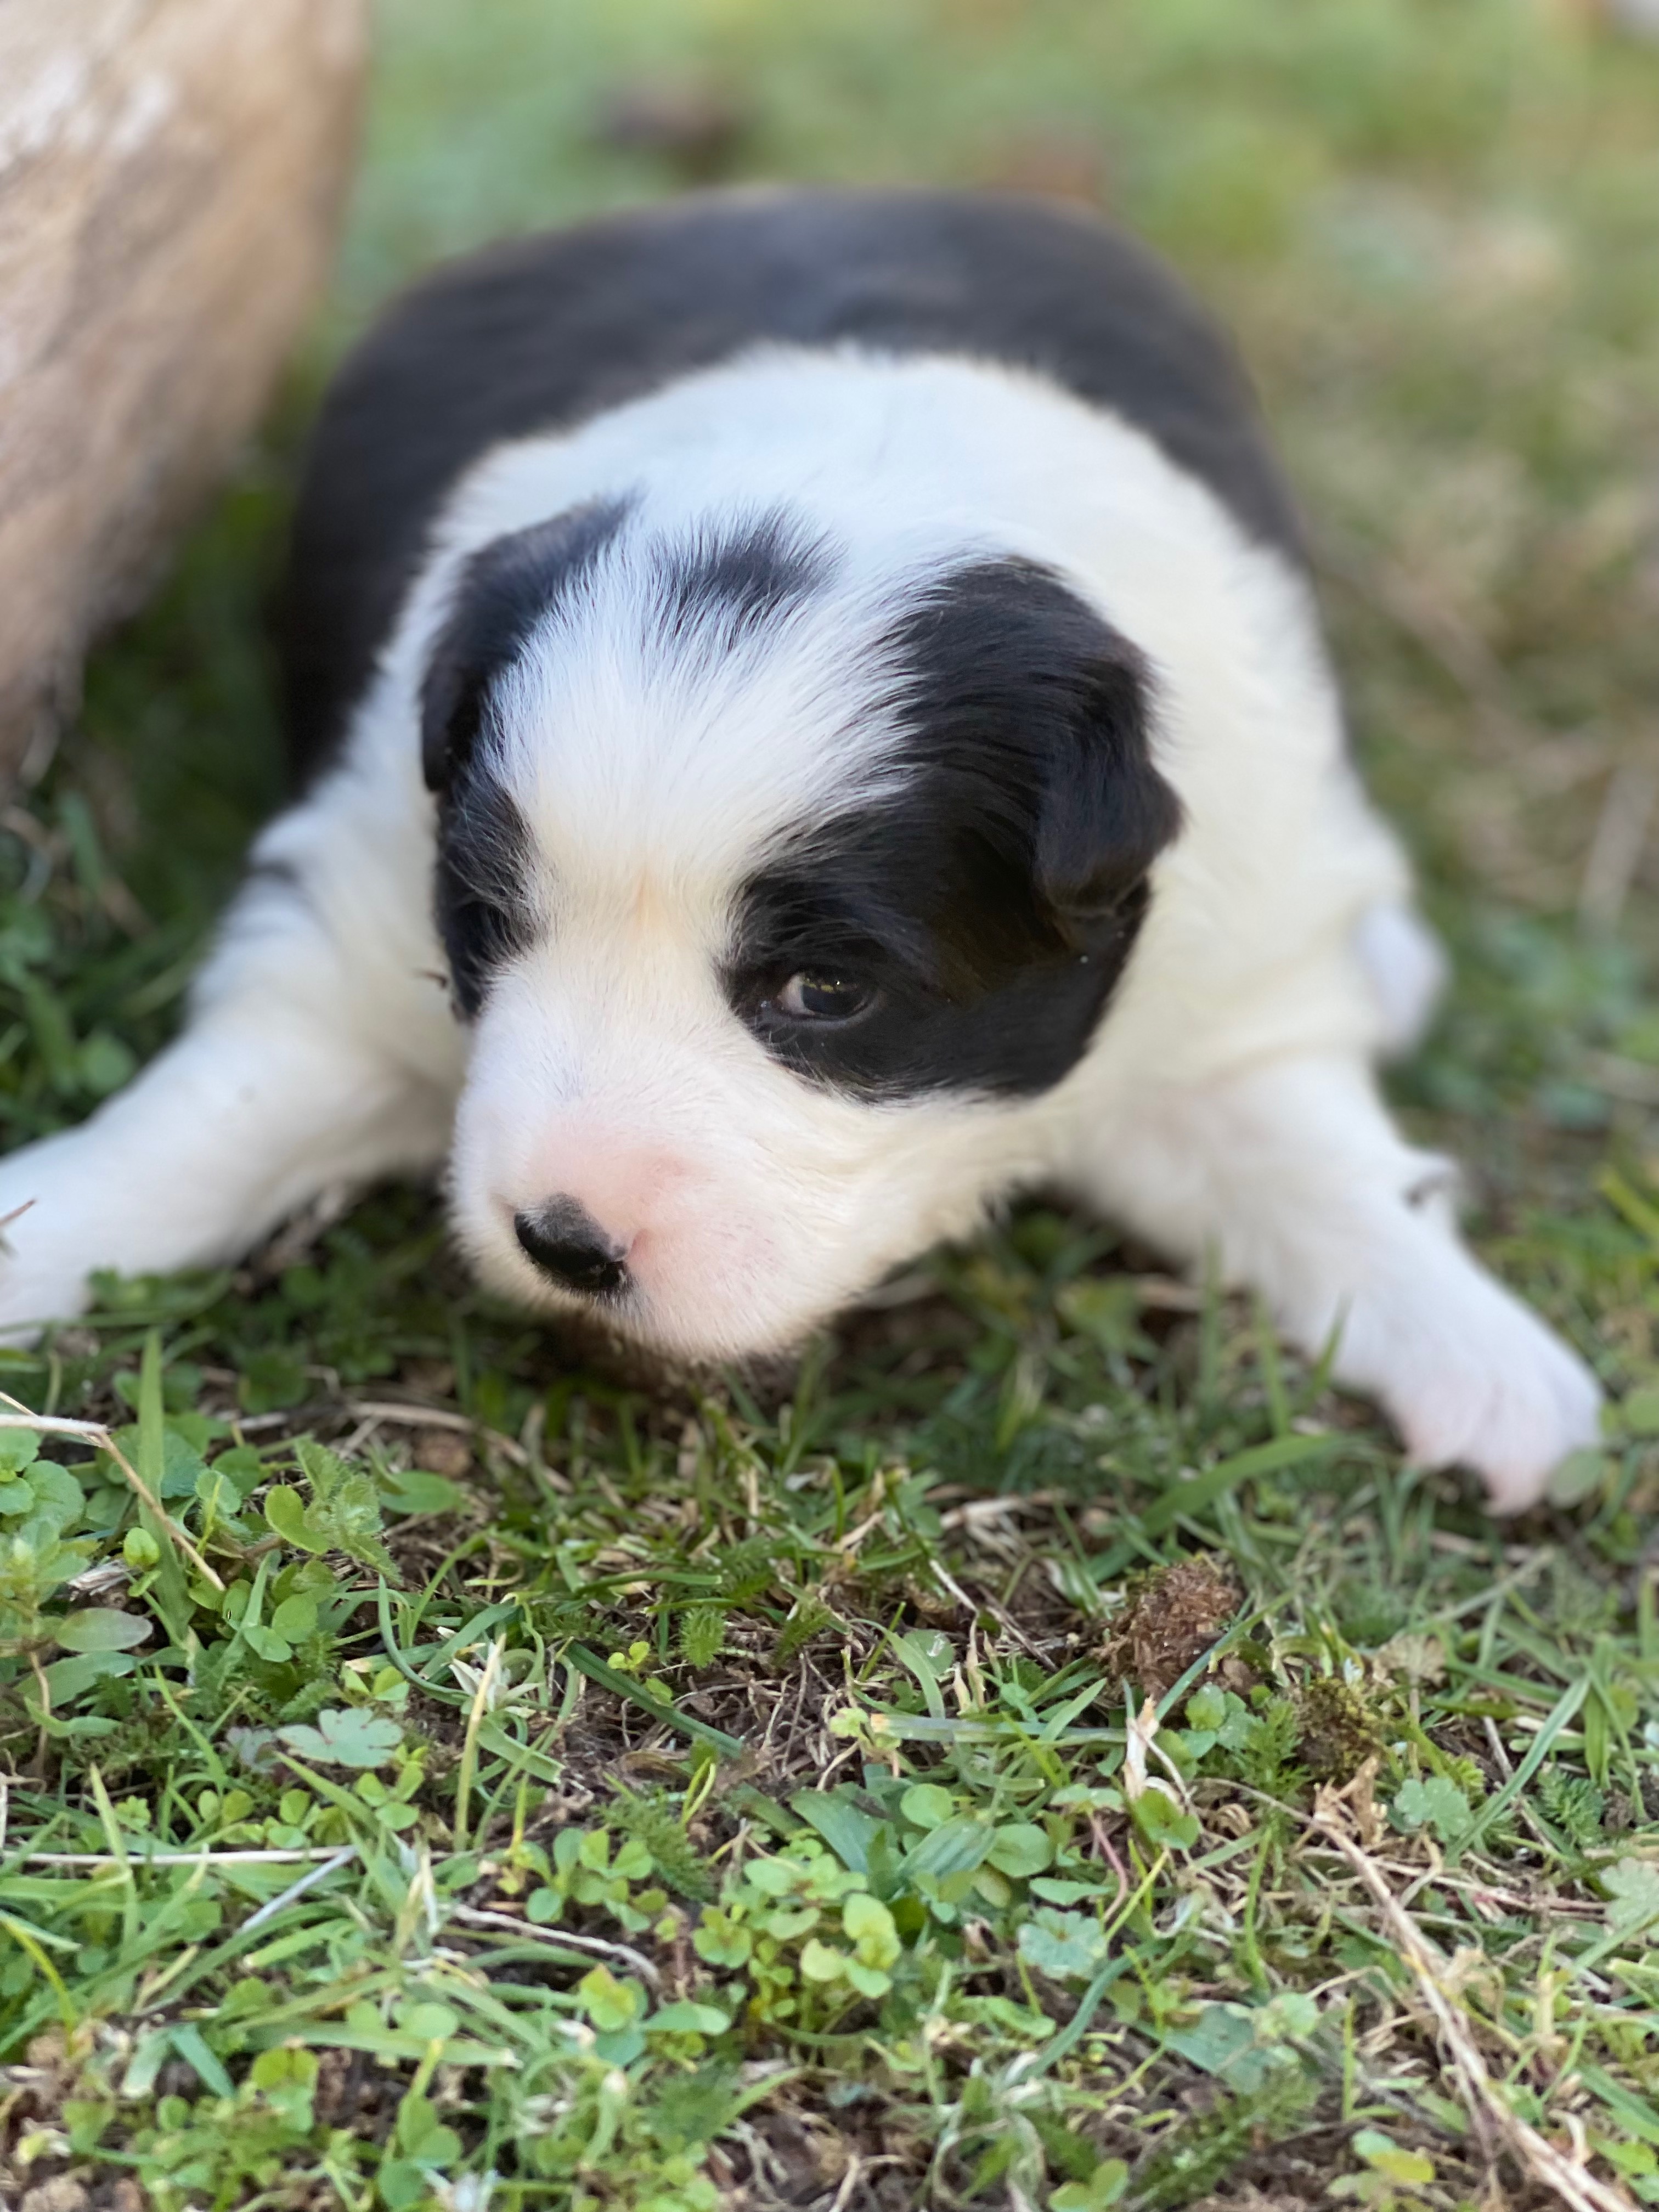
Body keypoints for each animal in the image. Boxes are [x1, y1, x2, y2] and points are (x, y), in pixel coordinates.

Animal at [3, 190, 1610, 1513]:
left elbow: (1328, 1170)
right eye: (484, 922)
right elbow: (204, 1120)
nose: (564, 1243)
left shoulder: (1218, 980)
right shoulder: (346, 918)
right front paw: (36, 1232)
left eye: (824, 994)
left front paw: (1493, 1366)